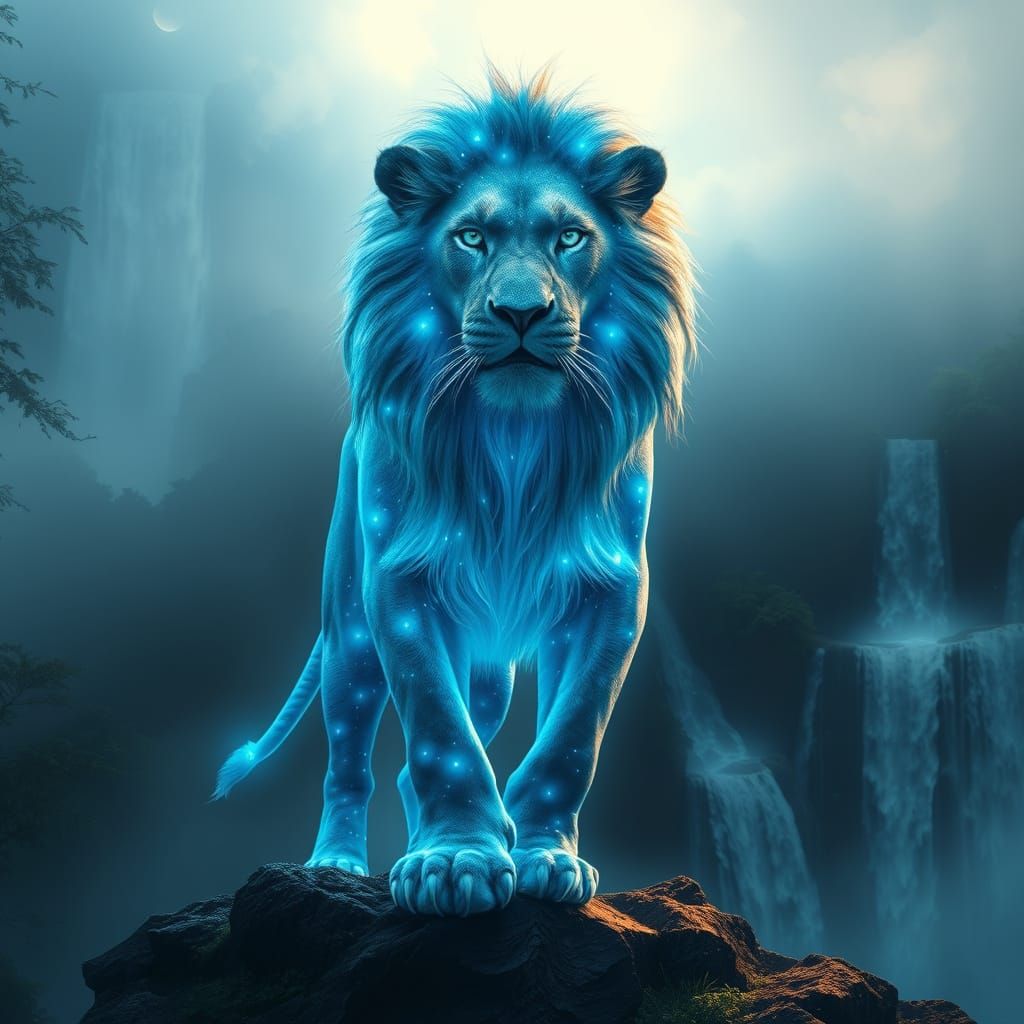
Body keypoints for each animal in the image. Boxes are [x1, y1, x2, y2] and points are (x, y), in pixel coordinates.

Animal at [213, 67, 696, 917]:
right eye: (471, 237)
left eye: (570, 237)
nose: (521, 312)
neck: (514, 438)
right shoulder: (399, 584)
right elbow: (440, 734)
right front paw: (455, 863)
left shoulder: (609, 592)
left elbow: (570, 742)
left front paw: (545, 858)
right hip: (348, 634)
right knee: (351, 757)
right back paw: (338, 862)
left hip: (491, 672)